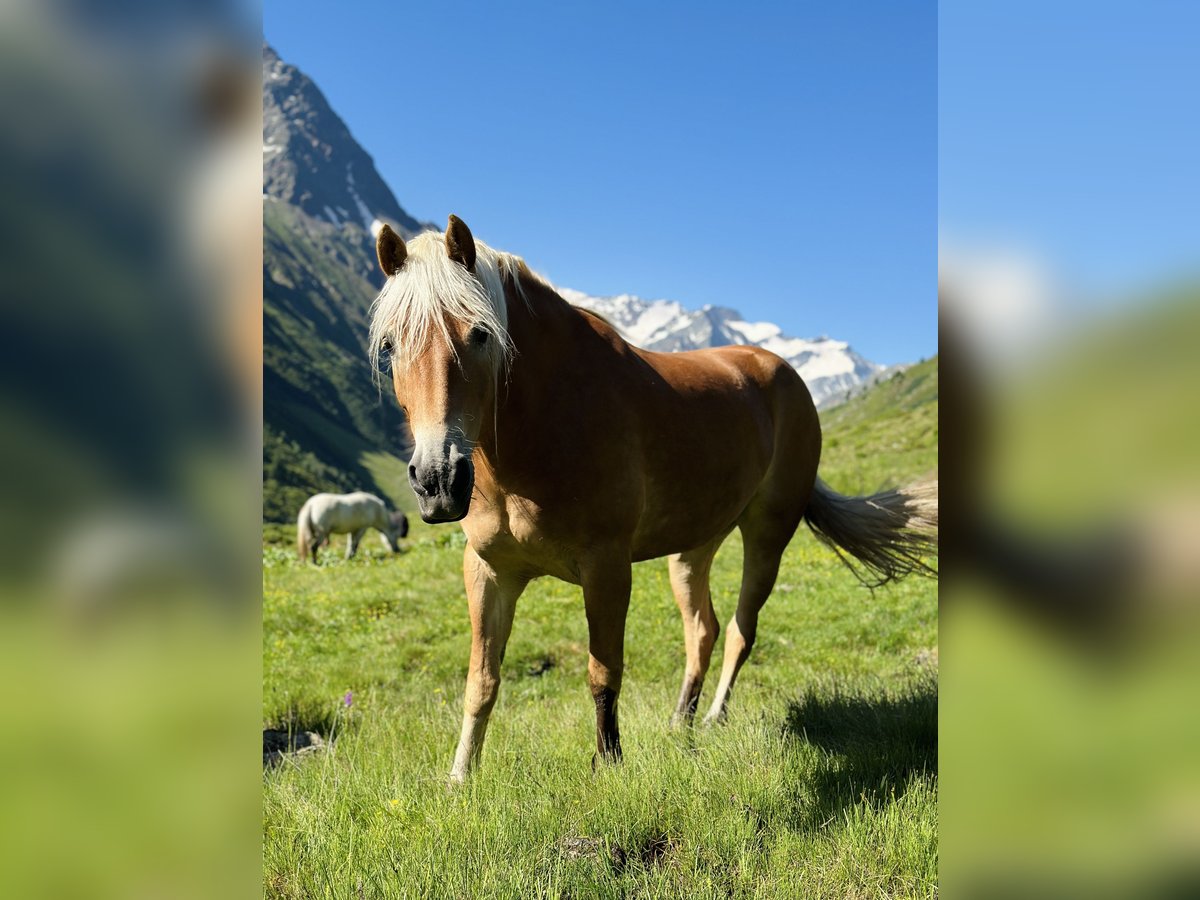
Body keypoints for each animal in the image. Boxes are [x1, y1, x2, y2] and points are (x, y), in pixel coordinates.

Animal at [369, 217, 931, 782]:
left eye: (480, 333)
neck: (547, 421)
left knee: (740, 630)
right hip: (693, 548)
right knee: (702, 629)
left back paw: (712, 718)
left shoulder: (607, 567)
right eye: (390, 347)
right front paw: (460, 777)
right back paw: (680, 722)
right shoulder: (487, 570)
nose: (438, 481)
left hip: (768, 535)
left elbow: (602, 671)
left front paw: (608, 763)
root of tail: (782, 373)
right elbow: (482, 680)